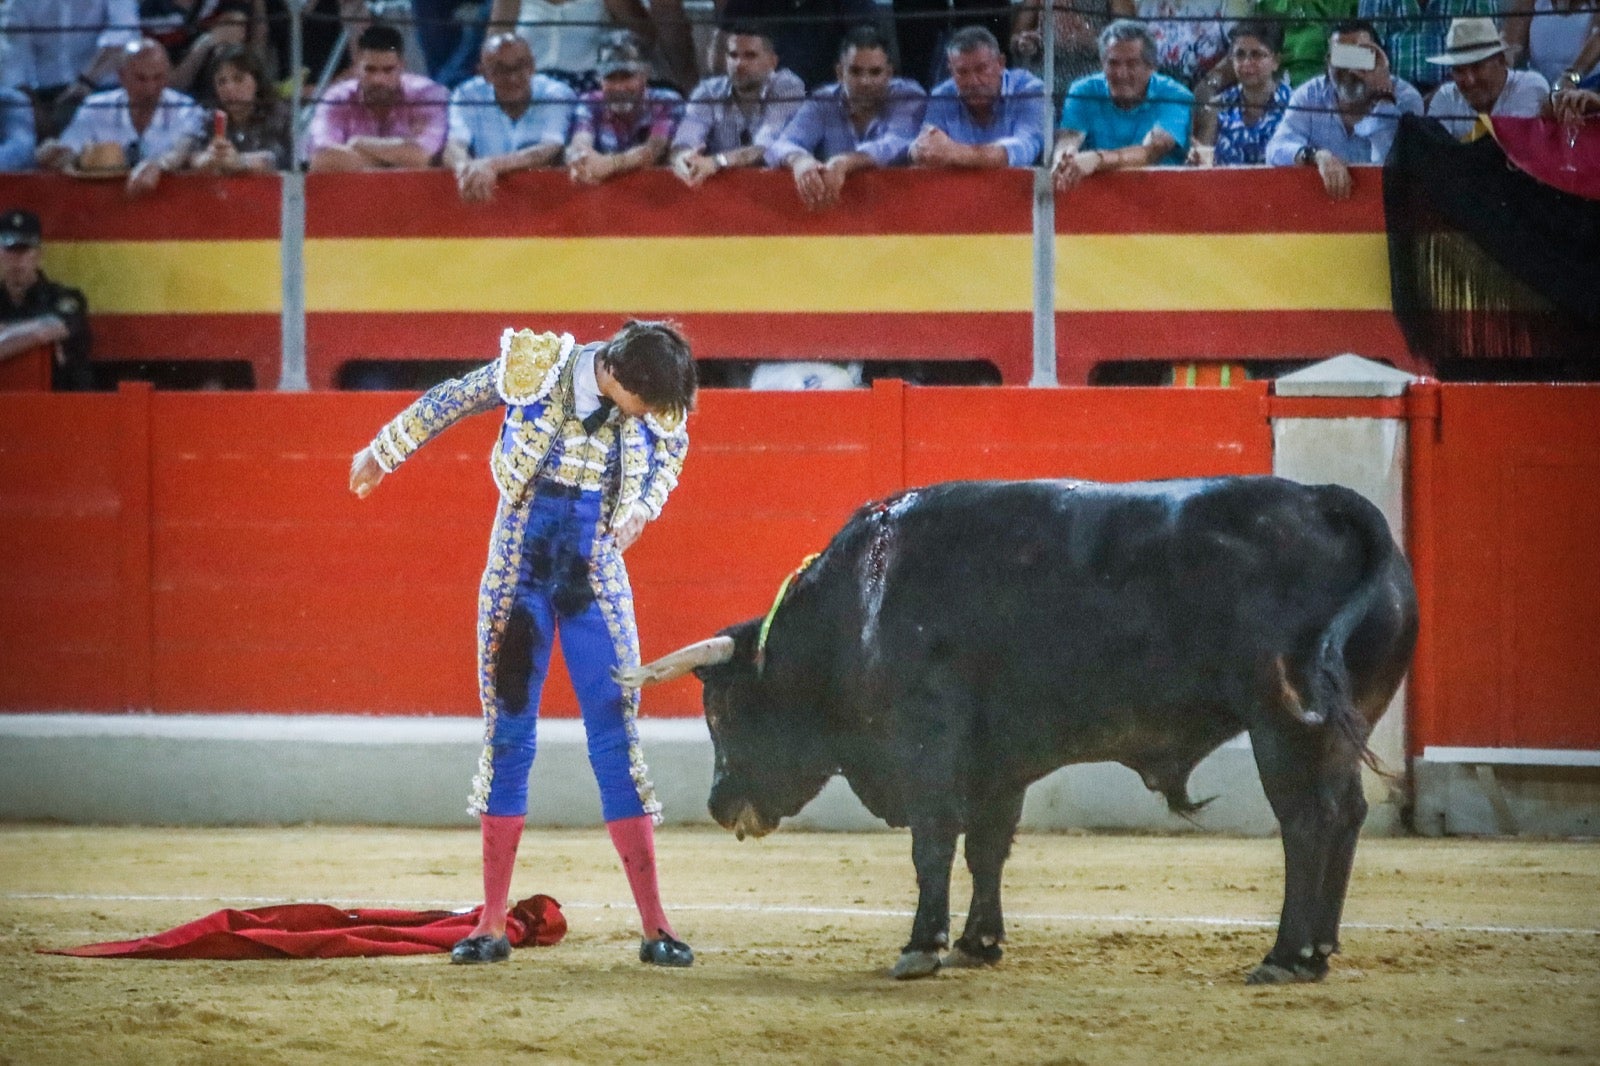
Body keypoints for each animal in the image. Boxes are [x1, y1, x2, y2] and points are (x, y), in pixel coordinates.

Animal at [617, 473, 1420, 979]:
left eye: (722, 710)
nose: (720, 805)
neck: (861, 605)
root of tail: (1326, 504)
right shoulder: (996, 759)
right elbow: (988, 849)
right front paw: (979, 943)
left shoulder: (929, 747)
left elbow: (935, 845)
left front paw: (922, 946)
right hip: (1338, 724)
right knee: (1347, 812)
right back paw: (1322, 948)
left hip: (1281, 724)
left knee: (1307, 821)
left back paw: (1285, 957)